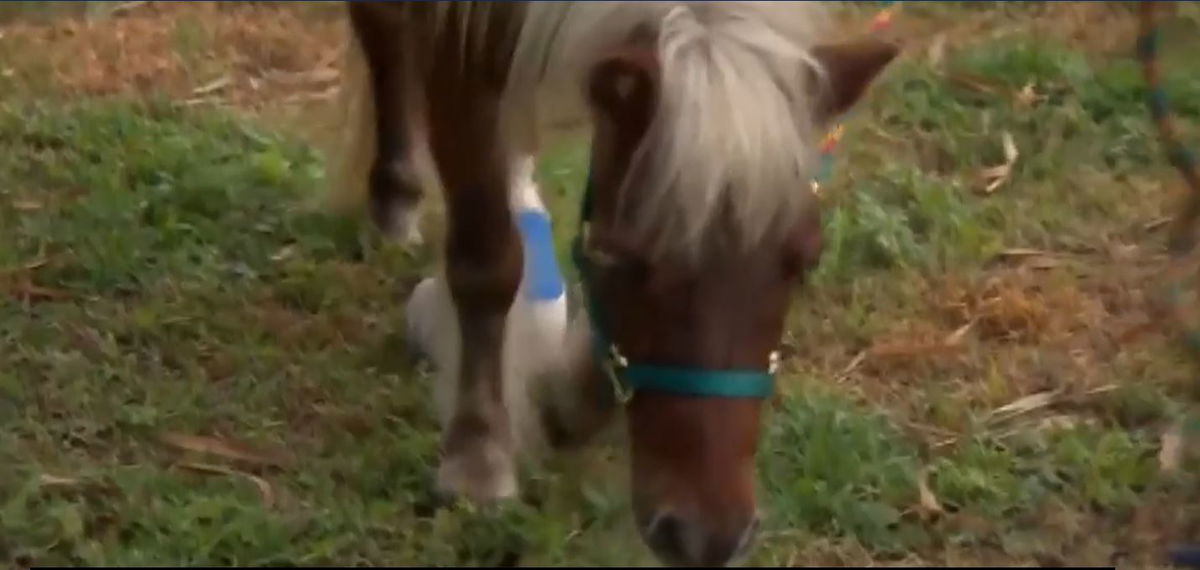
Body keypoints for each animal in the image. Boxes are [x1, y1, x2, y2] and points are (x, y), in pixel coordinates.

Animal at [324, 3, 897, 566]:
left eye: (805, 262)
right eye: (626, 258)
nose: (706, 538)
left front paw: (572, 396)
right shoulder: (456, 43)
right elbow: (486, 258)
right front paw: (478, 458)